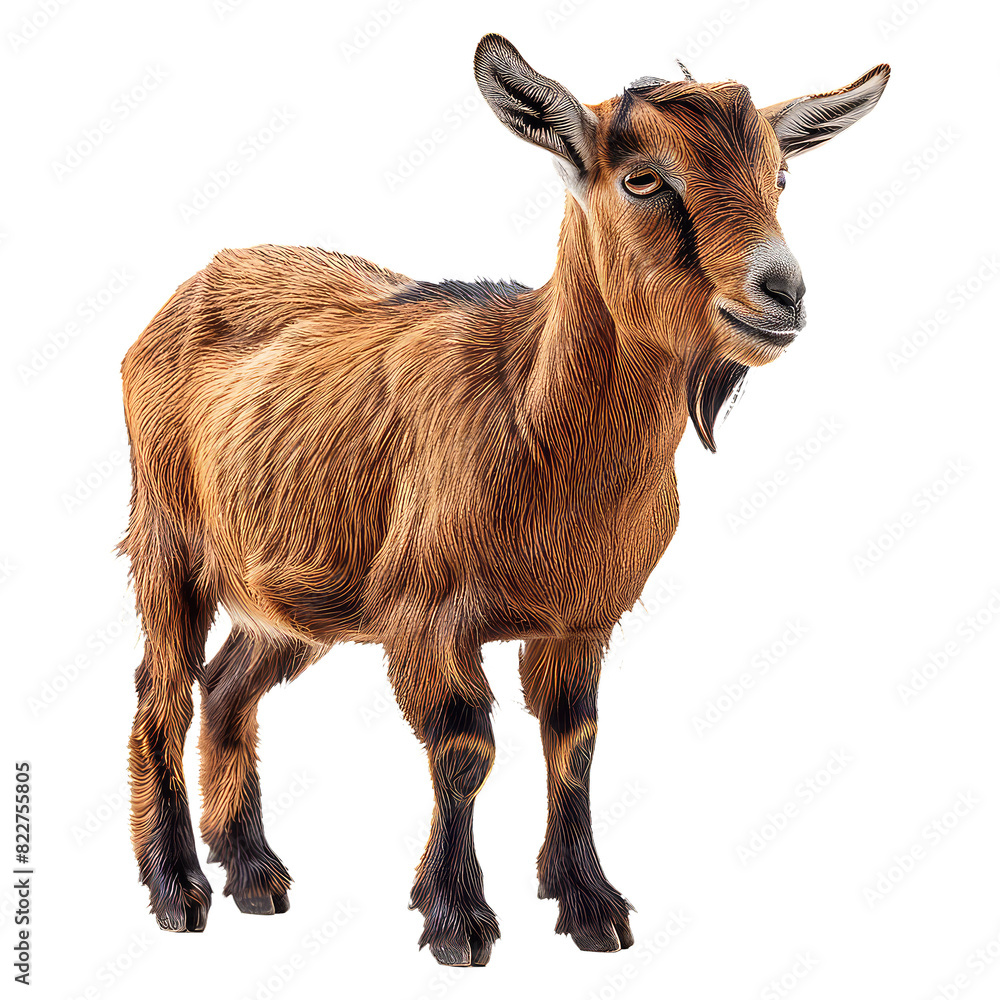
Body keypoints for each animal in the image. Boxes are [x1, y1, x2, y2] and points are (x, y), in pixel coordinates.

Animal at [121, 33, 889, 965]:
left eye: (780, 175)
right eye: (644, 179)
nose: (781, 292)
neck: (532, 414)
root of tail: (185, 292)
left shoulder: (579, 618)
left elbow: (575, 744)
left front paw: (591, 906)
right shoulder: (426, 612)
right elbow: (464, 749)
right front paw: (458, 920)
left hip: (295, 594)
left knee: (230, 688)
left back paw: (257, 877)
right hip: (167, 540)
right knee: (161, 694)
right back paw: (177, 890)